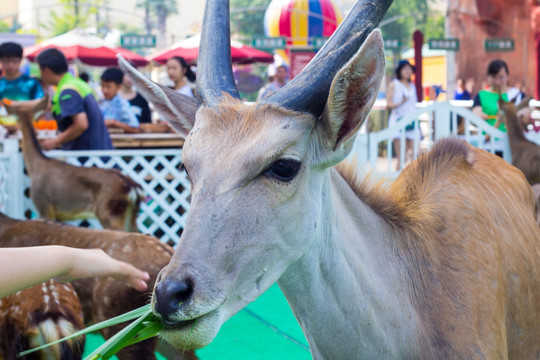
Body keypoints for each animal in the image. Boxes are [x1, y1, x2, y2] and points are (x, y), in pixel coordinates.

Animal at [2, 98, 144, 232]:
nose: (11, 131)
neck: (35, 166)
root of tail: (133, 187)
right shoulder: (60, 214)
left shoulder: (44, 205)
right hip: (131, 214)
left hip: (109, 211)